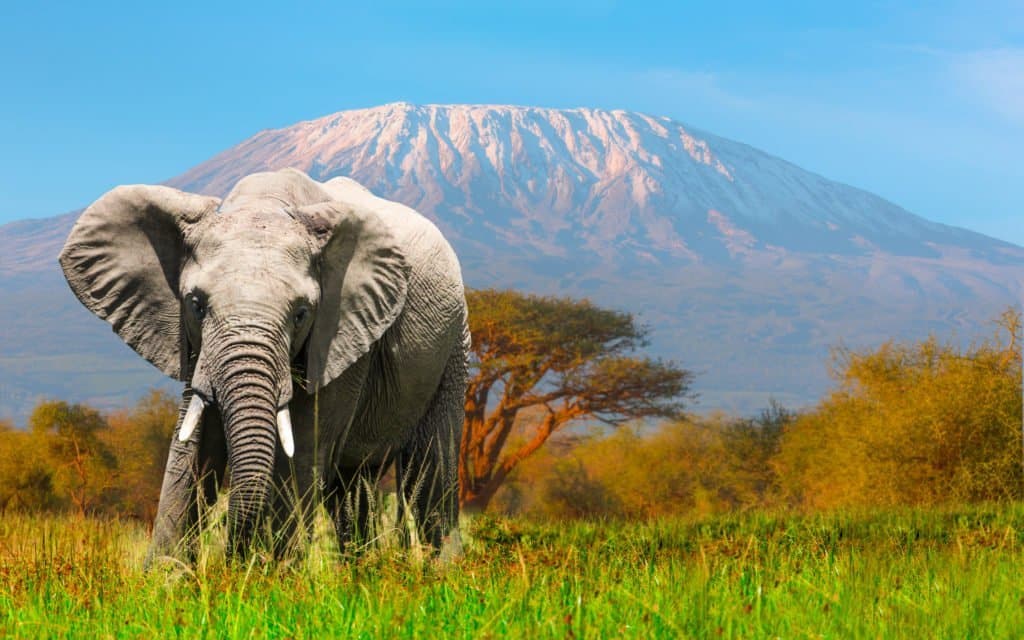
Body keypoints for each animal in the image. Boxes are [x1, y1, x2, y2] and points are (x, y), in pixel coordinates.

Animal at [59, 166, 468, 561]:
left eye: (301, 314)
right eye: (196, 305)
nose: (231, 556)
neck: (266, 203)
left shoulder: (342, 336)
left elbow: (300, 450)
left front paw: (269, 576)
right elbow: (193, 447)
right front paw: (168, 576)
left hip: (453, 341)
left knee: (428, 472)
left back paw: (441, 571)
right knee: (352, 486)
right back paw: (363, 571)